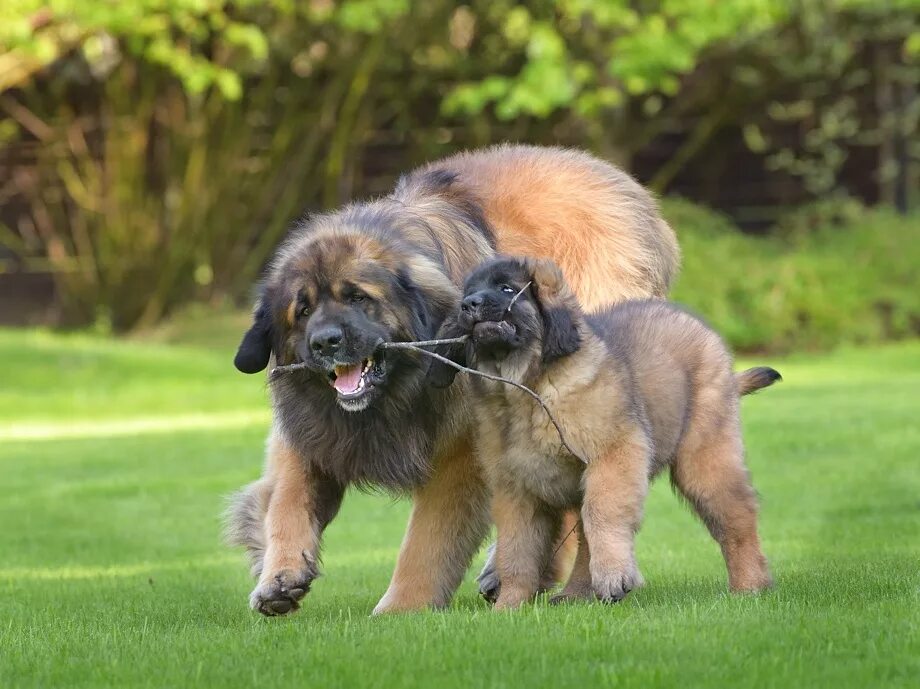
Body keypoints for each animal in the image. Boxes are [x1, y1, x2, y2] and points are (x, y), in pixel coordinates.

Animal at [226, 144, 680, 612]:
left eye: (358, 298)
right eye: (302, 311)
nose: (325, 343)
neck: (391, 399)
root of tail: (627, 189)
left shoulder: (458, 454)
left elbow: (427, 540)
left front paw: (400, 607)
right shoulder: (310, 427)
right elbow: (286, 496)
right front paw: (279, 575)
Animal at [428, 256, 780, 608]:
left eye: (506, 289)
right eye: (469, 292)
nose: (469, 305)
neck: (526, 389)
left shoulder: (613, 455)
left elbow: (603, 514)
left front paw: (614, 575)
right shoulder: (516, 486)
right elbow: (516, 549)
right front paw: (509, 607)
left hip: (704, 459)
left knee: (736, 519)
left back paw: (749, 585)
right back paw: (575, 594)